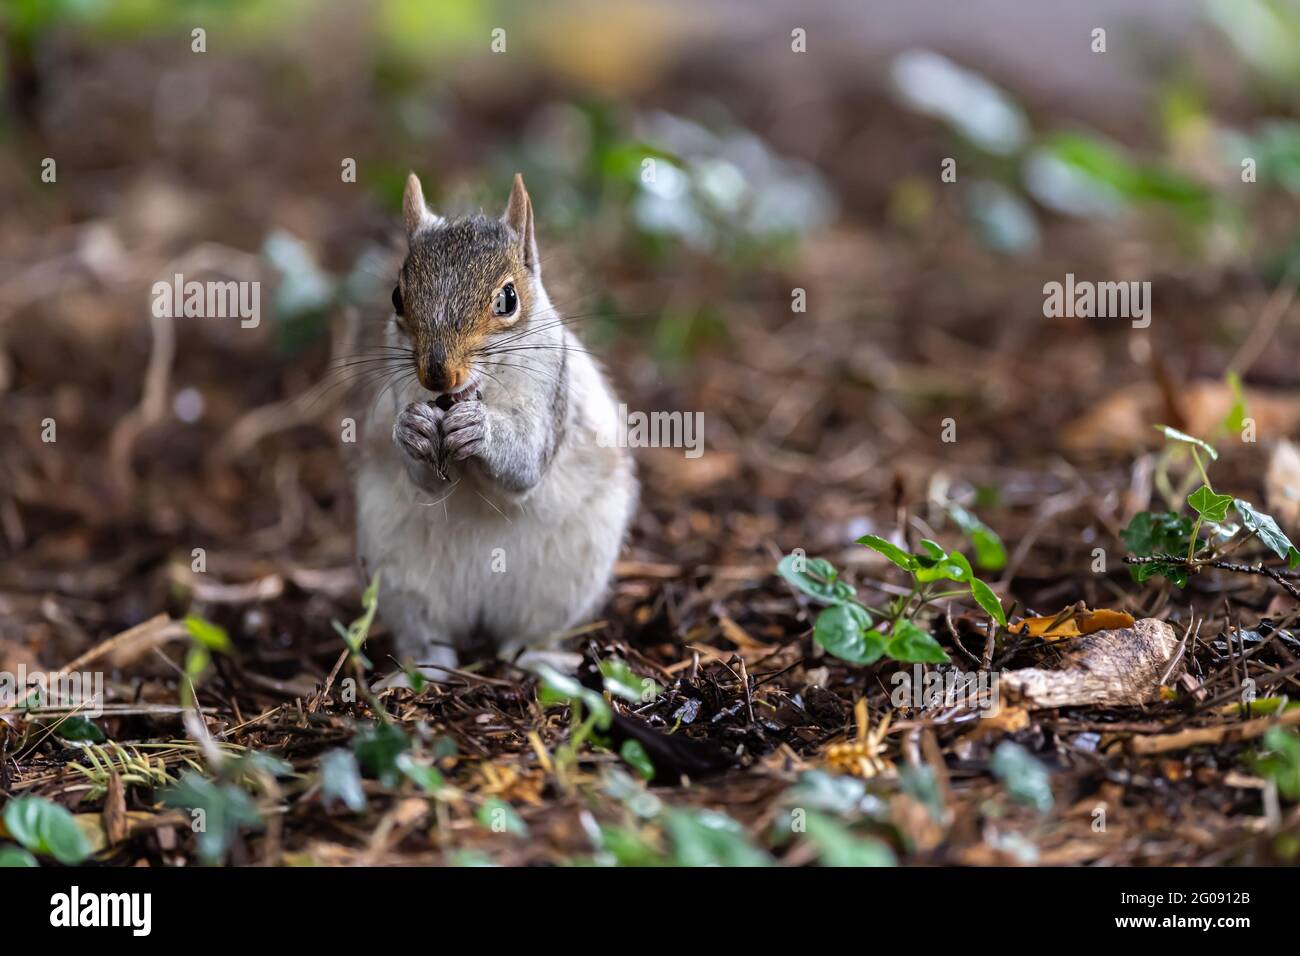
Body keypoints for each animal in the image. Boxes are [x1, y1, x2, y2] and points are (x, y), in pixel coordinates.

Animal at [354, 172, 638, 676]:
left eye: (509, 299)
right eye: (397, 297)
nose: (437, 375)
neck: (481, 391)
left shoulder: (551, 396)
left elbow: (524, 467)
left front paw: (480, 429)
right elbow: (425, 480)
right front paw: (412, 430)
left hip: (562, 585)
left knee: (521, 639)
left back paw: (541, 661)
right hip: (402, 578)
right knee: (432, 638)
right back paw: (420, 670)